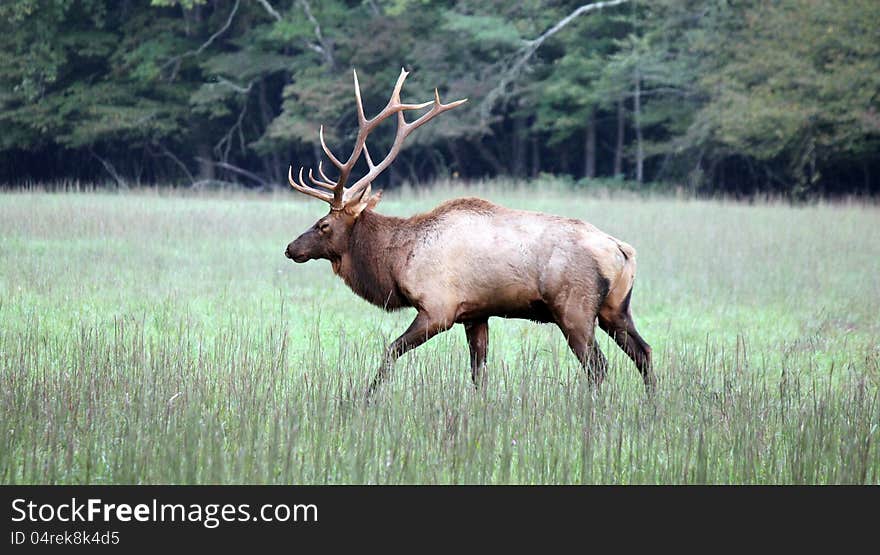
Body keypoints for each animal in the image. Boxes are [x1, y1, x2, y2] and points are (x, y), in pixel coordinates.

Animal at [282, 69, 652, 398]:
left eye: (323, 225)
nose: (290, 248)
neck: (397, 261)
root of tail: (623, 251)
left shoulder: (438, 309)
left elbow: (390, 352)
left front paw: (365, 398)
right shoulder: (475, 314)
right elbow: (478, 373)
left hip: (575, 309)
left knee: (599, 366)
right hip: (615, 308)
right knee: (644, 353)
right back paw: (653, 406)